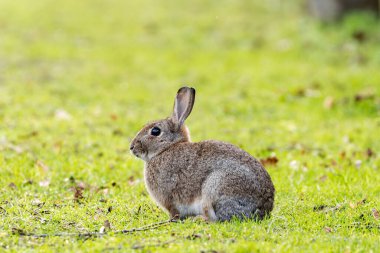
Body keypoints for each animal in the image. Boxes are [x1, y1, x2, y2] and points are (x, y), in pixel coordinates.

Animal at [129, 87, 274, 221]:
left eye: (155, 131)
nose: (132, 147)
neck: (166, 148)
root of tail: (262, 209)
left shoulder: (170, 198)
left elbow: (174, 212)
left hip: (214, 188)